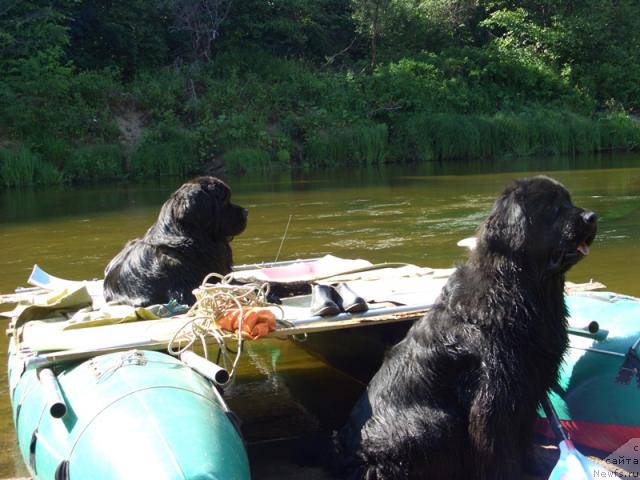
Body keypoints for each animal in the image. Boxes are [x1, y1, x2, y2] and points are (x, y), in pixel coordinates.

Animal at [332, 176, 596, 480]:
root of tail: (351, 458)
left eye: (568, 200)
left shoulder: (529, 385)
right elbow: (499, 448)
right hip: (433, 423)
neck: (518, 289)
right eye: (552, 208)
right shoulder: (495, 395)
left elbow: (523, 437)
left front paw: (536, 465)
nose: (592, 217)